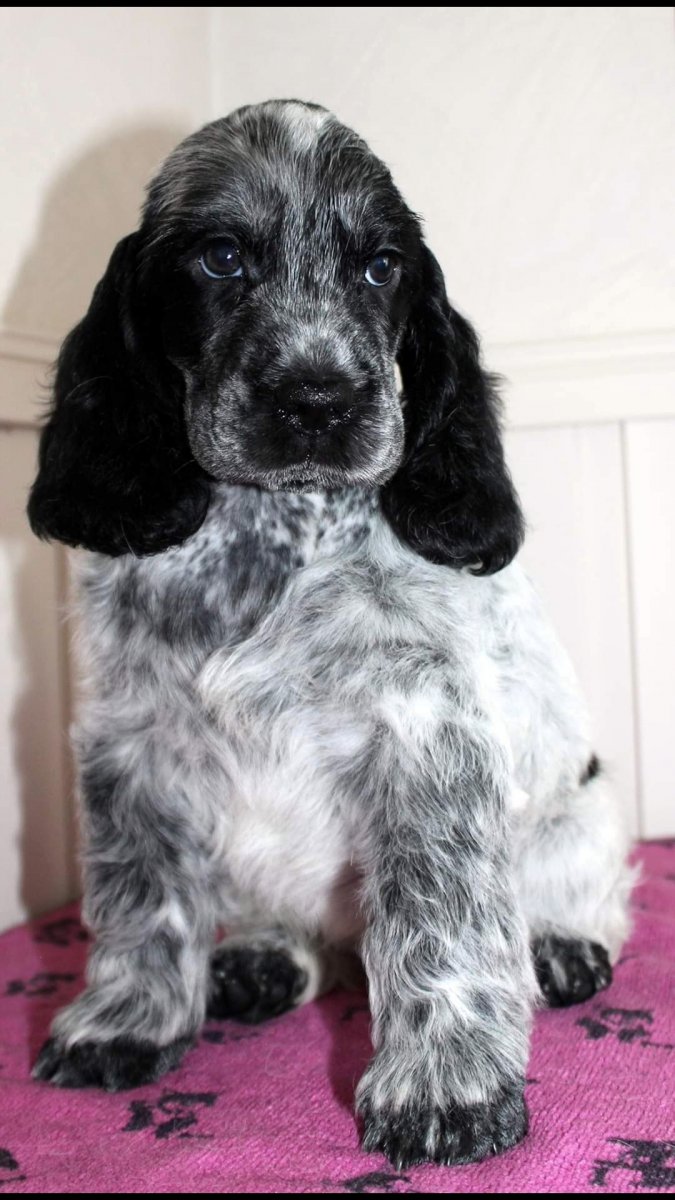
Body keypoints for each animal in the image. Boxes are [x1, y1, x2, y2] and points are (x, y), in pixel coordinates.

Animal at [27, 99, 633, 1167]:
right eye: (221, 257)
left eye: (381, 267)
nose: (319, 400)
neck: (271, 535)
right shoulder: (132, 745)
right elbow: (142, 898)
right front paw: (124, 1025)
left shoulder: (423, 734)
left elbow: (440, 912)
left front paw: (445, 1089)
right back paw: (262, 963)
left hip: (582, 812)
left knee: (576, 892)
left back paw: (562, 948)